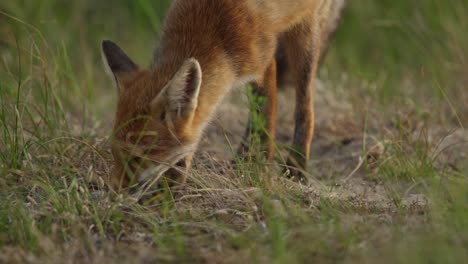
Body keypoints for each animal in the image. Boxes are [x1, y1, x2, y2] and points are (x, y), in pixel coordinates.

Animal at [101, 0, 344, 190]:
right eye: (113, 152)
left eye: (138, 157)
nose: (114, 190)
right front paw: (173, 184)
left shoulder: (264, 61)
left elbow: (265, 123)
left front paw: (262, 171)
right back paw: (241, 160)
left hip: (305, 34)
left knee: (305, 108)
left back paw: (296, 168)